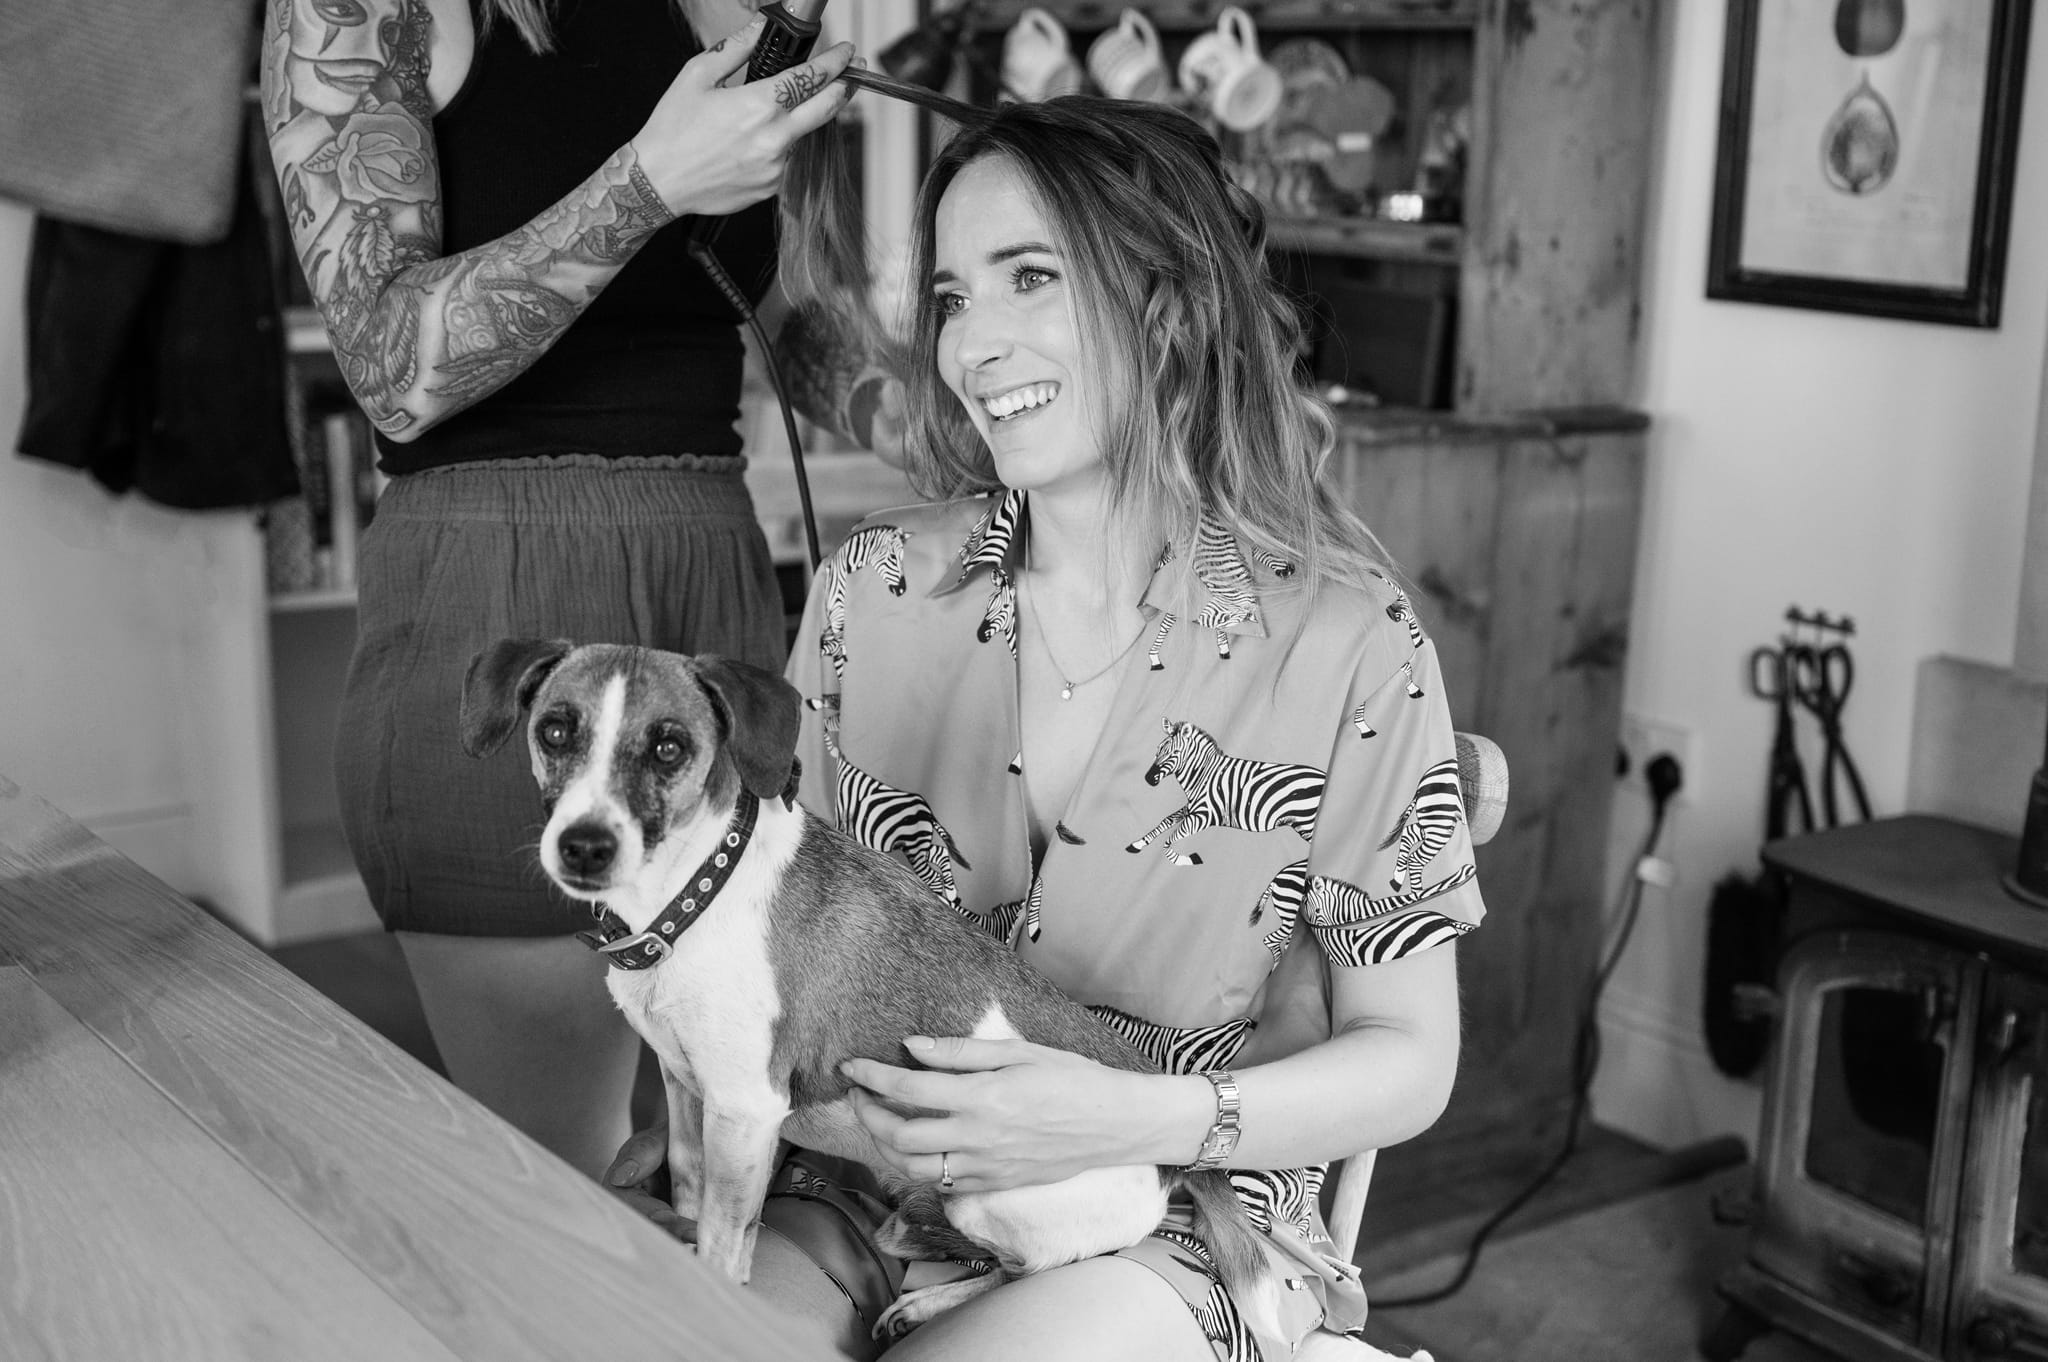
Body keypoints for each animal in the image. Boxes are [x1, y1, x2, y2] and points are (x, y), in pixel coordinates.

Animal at [460, 639, 1277, 1335]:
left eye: (669, 747)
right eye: (555, 731)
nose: (584, 847)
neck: (695, 893)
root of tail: (1176, 1159)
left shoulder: (745, 1112)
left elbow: (724, 1243)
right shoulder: (686, 1088)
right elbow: (692, 1198)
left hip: (992, 1197)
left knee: (1023, 1267)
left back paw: (928, 1299)